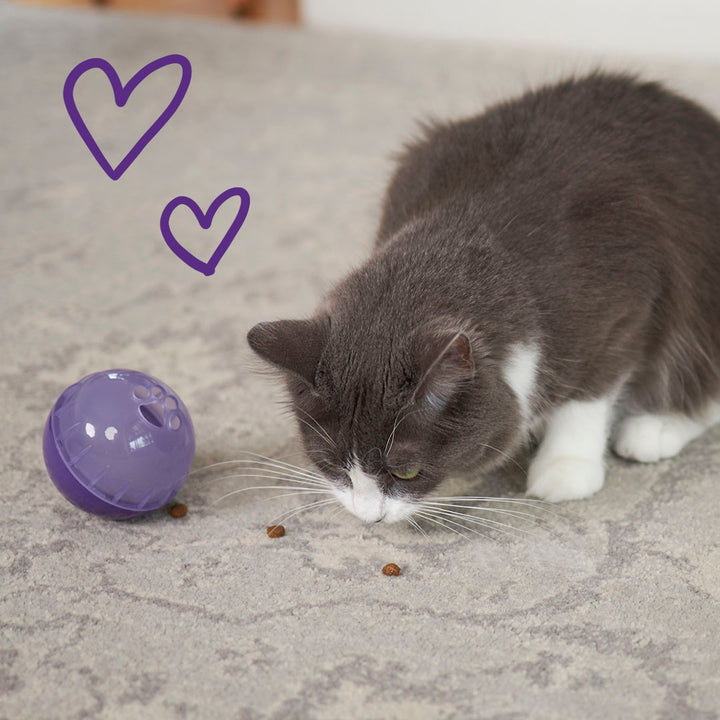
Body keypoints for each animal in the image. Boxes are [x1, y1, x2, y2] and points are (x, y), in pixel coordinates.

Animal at [246, 71, 720, 524]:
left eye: (406, 471)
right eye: (331, 464)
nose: (369, 516)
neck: (458, 239)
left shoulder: (623, 302)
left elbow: (589, 391)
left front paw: (566, 468)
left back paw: (653, 430)